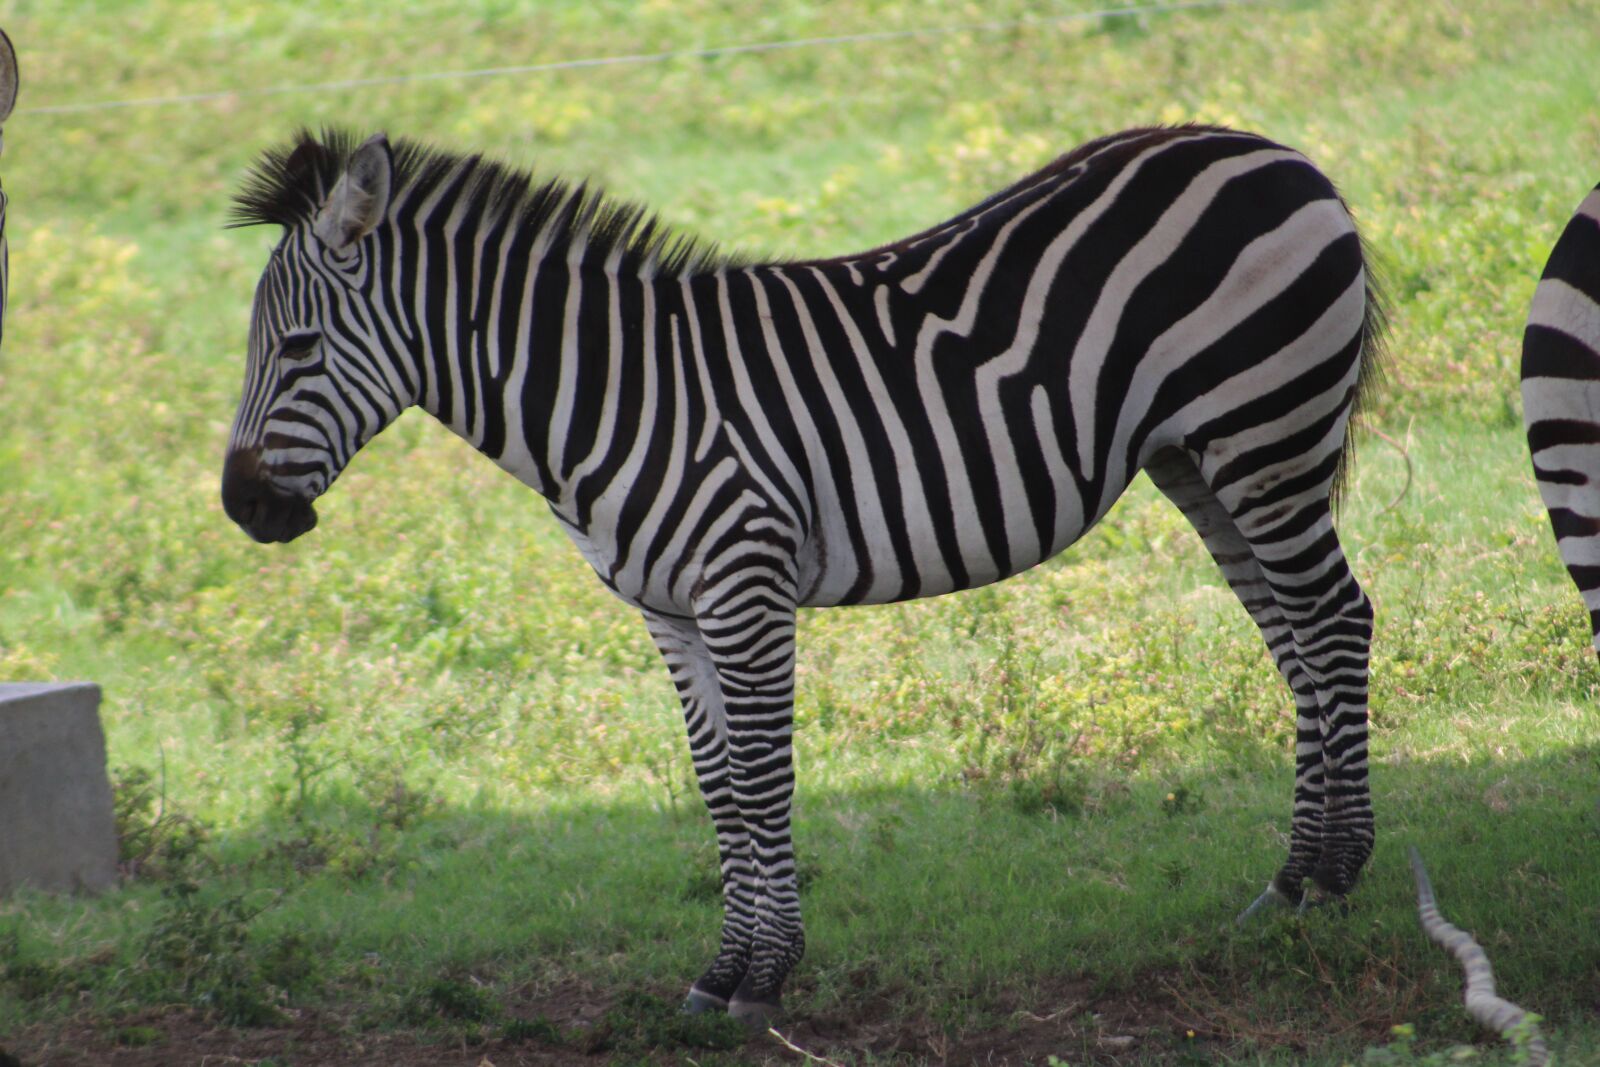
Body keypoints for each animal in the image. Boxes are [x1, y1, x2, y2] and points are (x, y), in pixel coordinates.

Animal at [221, 124, 1386, 1024]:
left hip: (1266, 431)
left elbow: (761, 777)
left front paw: (766, 977)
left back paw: (1338, 874)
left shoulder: (744, 584)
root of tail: (1271, 149)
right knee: (1293, 639)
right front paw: (720, 971)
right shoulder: (668, 612)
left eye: (301, 348)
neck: (612, 394)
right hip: (1200, 459)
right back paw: (1291, 885)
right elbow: (716, 786)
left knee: (1336, 621)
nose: (241, 509)